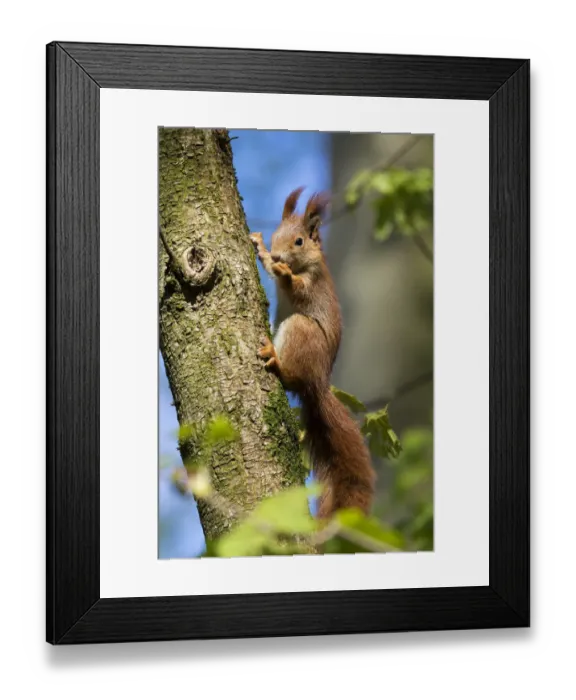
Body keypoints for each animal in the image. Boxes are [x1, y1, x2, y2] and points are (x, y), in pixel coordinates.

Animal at [250, 187, 376, 519]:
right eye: (276, 234)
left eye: (299, 241)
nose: (278, 255)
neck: (303, 265)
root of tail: (317, 383)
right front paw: (260, 247)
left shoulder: (313, 282)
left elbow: (296, 286)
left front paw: (281, 270)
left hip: (301, 331)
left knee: (290, 375)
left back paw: (275, 357)